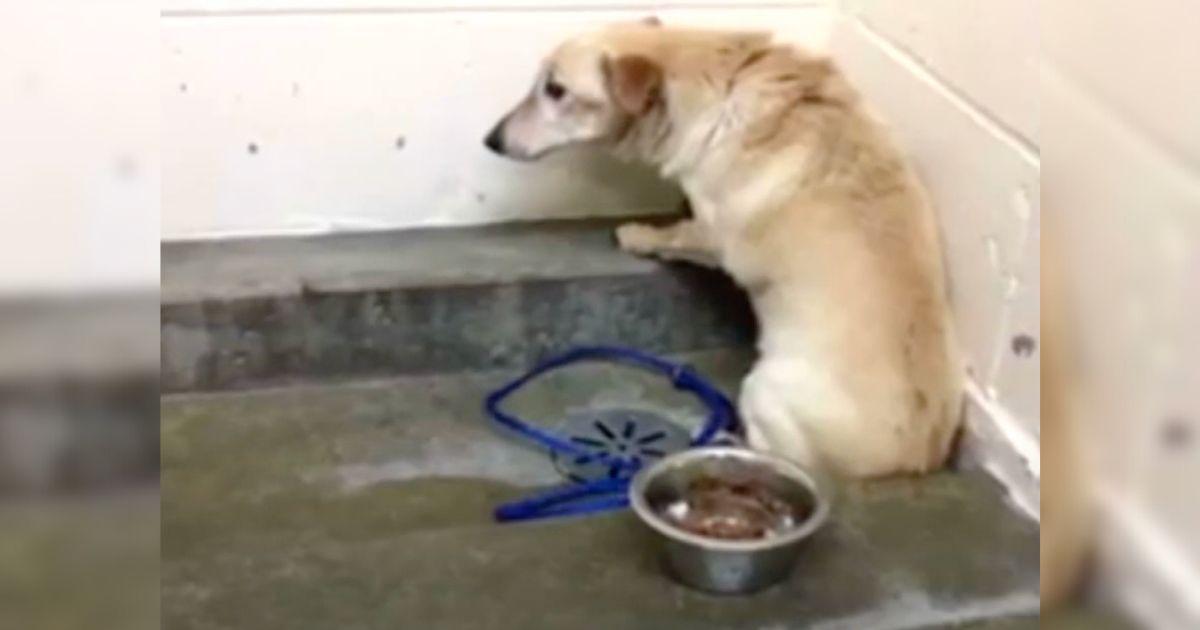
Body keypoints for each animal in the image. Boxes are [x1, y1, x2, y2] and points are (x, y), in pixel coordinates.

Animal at [482, 19, 960, 477]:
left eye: (556, 89)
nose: (491, 140)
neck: (713, 83)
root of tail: (917, 458)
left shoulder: (716, 236)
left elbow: (676, 235)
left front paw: (640, 235)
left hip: (764, 387)